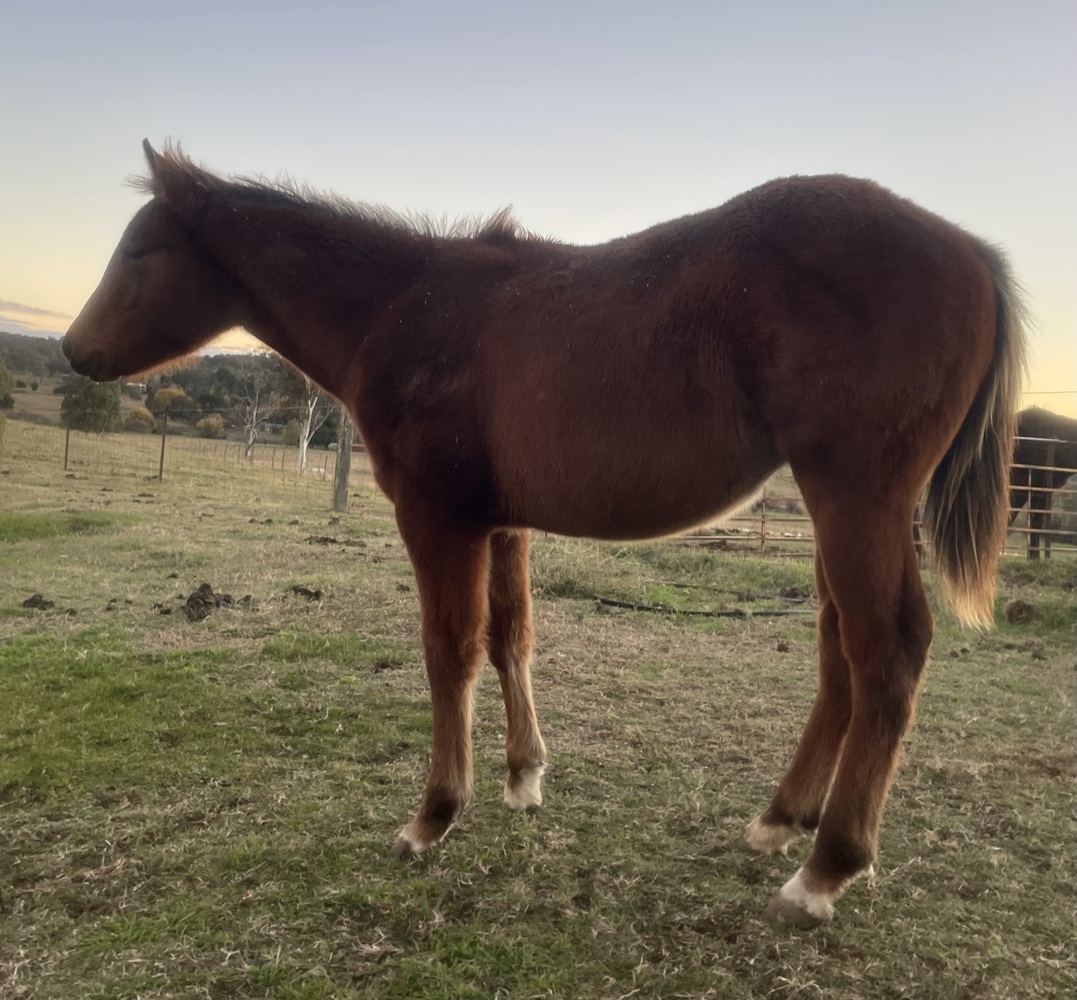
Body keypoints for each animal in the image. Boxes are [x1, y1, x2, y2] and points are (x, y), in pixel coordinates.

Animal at [62, 141, 1026, 928]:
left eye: (138, 251)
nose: (74, 350)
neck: (403, 306)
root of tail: (970, 253)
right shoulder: (502, 523)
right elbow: (510, 637)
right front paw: (523, 776)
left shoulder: (437, 518)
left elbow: (449, 650)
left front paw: (433, 815)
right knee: (838, 654)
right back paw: (780, 819)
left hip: (854, 496)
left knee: (885, 649)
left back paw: (825, 870)